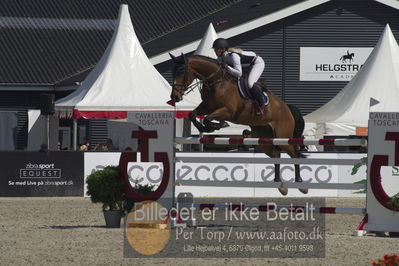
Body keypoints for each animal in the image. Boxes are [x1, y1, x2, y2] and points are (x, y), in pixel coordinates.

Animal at [169, 53, 310, 195]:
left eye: (182, 71)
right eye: (173, 72)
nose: (174, 97)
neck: (216, 81)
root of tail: (287, 107)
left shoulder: (227, 111)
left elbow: (208, 119)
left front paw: (217, 126)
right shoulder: (207, 107)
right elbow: (192, 115)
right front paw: (206, 127)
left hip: (283, 137)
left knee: (295, 155)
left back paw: (301, 184)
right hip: (263, 138)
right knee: (276, 155)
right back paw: (280, 185)